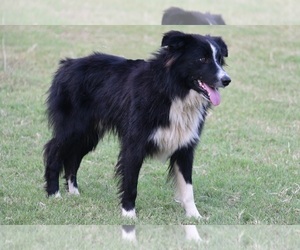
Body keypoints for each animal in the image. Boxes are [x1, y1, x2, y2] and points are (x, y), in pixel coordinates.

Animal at [44, 30, 231, 219]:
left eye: (219, 59)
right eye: (202, 59)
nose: (227, 80)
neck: (172, 92)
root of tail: (66, 64)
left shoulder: (185, 145)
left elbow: (187, 186)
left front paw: (194, 216)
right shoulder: (135, 142)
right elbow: (131, 181)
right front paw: (129, 213)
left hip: (89, 134)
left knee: (73, 157)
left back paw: (74, 192)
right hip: (74, 127)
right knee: (53, 150)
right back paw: (54, 194)